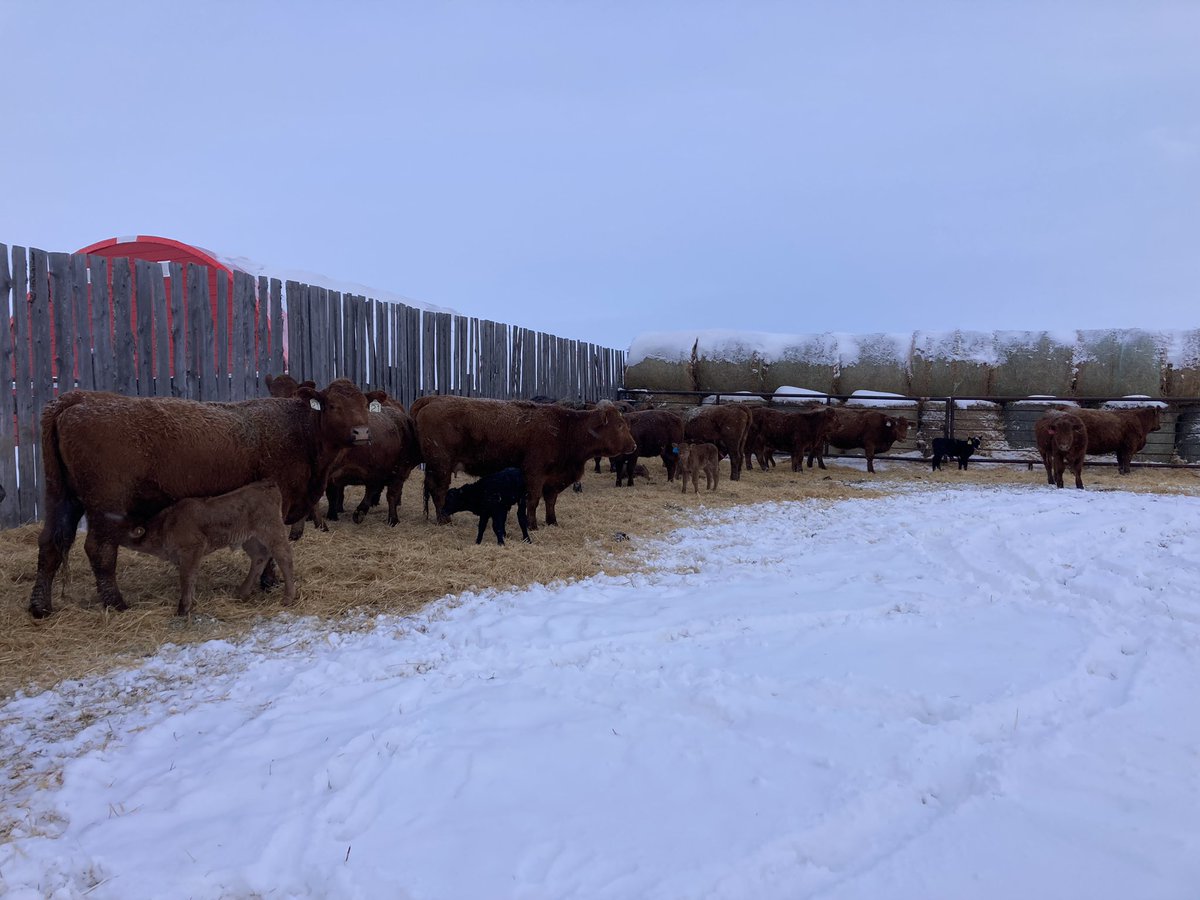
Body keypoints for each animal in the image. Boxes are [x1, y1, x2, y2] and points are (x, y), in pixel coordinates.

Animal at [120, 480, 295, 616]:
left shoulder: (192, 549)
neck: (166, 525)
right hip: (250, 539)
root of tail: (267, 485)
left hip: (272, 531)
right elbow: (189, 577)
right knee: (260, 556)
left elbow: (186, 578)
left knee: (284, 557)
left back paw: (288, 598)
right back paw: (242, 593)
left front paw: (183, 608)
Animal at [414, 396, 636, 529]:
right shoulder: (534, 474)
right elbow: (533, 500)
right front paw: (532, 525)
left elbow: (551, 501)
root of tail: (434, 399)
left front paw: (552, 521)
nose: (633, 446)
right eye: (619, 425)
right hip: (441, 467)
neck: (566, 428)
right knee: (439, 491)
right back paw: (444, 519)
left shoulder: (553, 479)